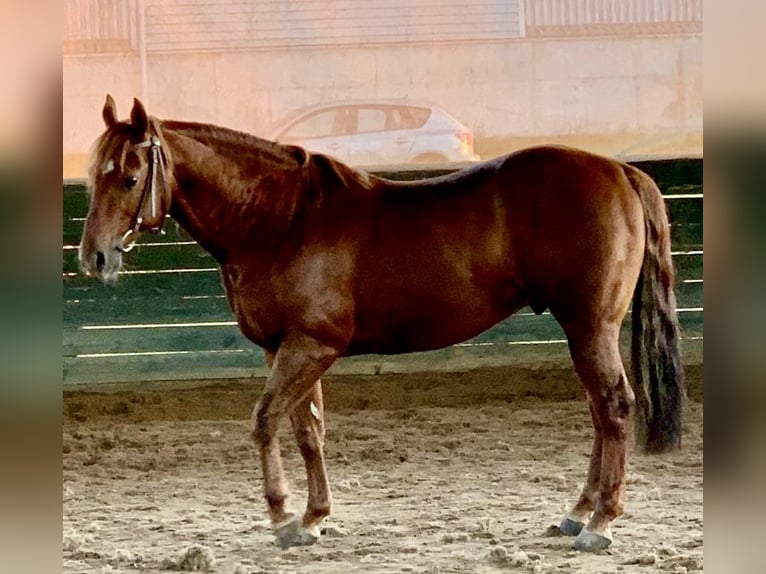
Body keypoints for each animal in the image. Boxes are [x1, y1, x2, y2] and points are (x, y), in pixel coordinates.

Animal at [81, 97, 688, 556]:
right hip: (584, 331)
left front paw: (281, 517)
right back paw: (578, 512)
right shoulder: (285, 349)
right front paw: (314, 517)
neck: (280, 221)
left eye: (130, 177)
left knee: (614, 407)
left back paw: (600, 523)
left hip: (589, 326)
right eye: (93, 176)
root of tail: (621, 170)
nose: (94, 257)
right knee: (599, 412)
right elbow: (308, 430)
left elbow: (265, 421)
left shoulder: (310, 347)